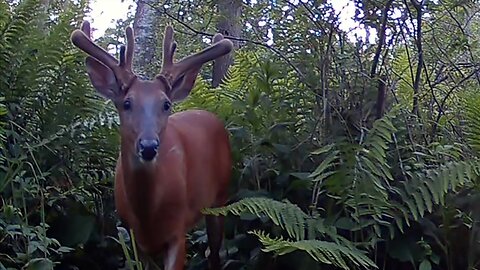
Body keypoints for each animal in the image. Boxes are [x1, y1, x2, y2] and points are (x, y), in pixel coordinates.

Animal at [71, 20, 232, 270]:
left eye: (166, 104)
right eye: (126, 103)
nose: (148, 146)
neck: (147, 213)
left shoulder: (178, 231)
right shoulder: (135, 238)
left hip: (220, 199)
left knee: (215, 253)